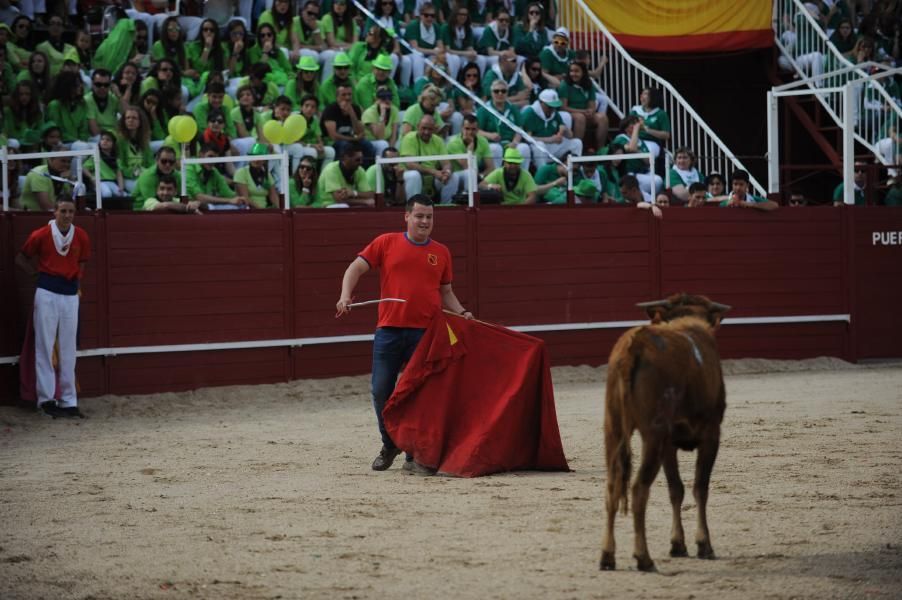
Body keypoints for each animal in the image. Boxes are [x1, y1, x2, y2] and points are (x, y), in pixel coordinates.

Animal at [600, 294, 736, 572]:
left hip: (613, 429)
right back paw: (643, 557)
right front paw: (703, 544)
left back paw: (607, 556)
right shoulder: (711, 435)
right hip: (652, 434)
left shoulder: (669, 444)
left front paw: (678, 544)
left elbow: (676, 489)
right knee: (639, 488)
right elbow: (700, 488)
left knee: (612, 487)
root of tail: (634, 346)